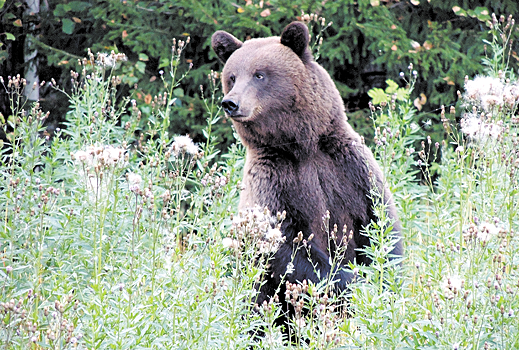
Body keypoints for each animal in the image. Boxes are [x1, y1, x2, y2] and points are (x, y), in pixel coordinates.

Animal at [212, 21, 406, 314]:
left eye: (259, 75)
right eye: (232, 77)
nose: (231, 103)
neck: (301, 146)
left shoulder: (348, 167)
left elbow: (379, 221)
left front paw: (383, 278)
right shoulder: (273, 179)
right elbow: (287, 244)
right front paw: (352, 283)